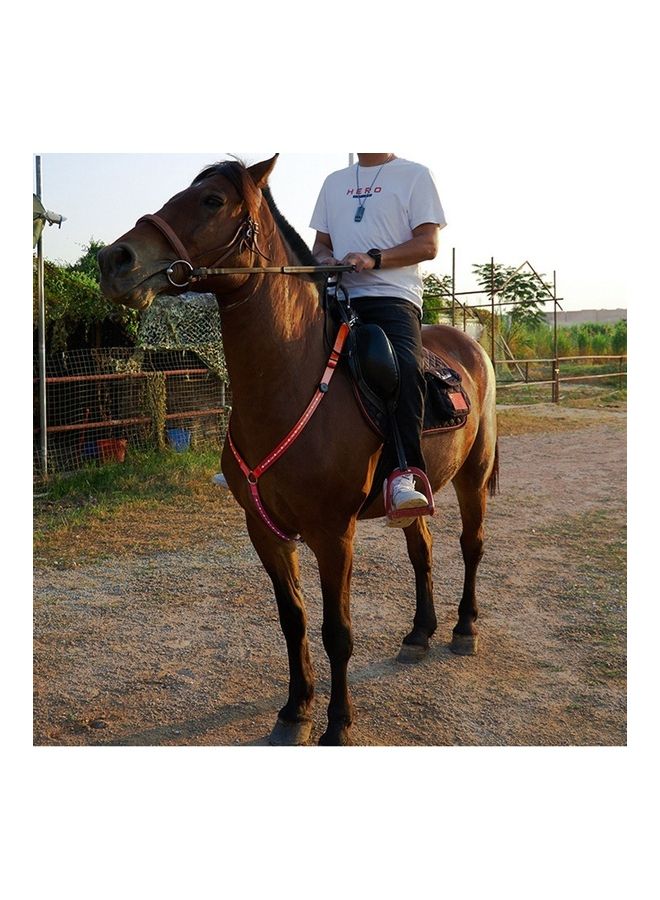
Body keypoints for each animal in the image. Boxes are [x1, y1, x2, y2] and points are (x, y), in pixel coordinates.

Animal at [98, 155, 499, 746]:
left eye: (212, 201)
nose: (114, 260)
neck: (291, 381)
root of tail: (470, 343)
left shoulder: (333, 534)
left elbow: (338, 631)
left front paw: (338, 724)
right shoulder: (265, 529)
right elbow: (295, 620)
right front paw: (295, 711)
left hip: (474, 474)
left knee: (471, 546)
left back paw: (463, 627)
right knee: (422, 549)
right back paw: (418, 633)